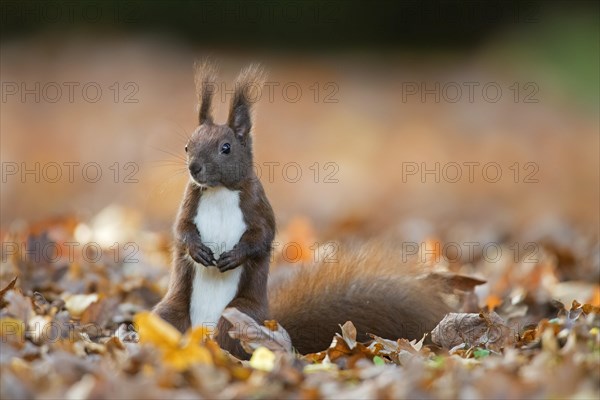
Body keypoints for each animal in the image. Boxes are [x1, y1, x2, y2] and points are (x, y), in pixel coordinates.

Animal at [154, 62, 450, 360]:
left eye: (225, 148)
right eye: (187, 146)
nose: (194, 168)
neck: (219, 191)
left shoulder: (257, 205)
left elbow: (262, 236)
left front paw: (234, 256)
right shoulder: (190, 202)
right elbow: (181, 229)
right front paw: (197, 250)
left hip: (238, 316)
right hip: (170, 313)